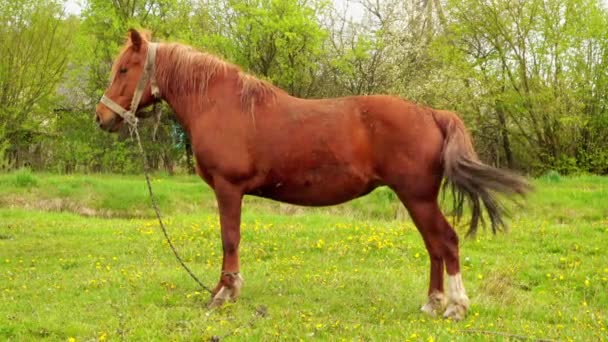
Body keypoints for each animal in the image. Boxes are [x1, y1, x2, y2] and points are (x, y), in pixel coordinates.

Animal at [96, 29, 532, 320]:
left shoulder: (228, 188)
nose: (102, 117)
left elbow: (229, 238)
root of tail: (432, 113)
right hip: (417, 199)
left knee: (446, 241)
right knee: (434, 245)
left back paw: (456, 306)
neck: (220, 103)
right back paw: (432, 302)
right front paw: (225, 290)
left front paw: (224, 293)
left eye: (124, 69)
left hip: (417, 196)